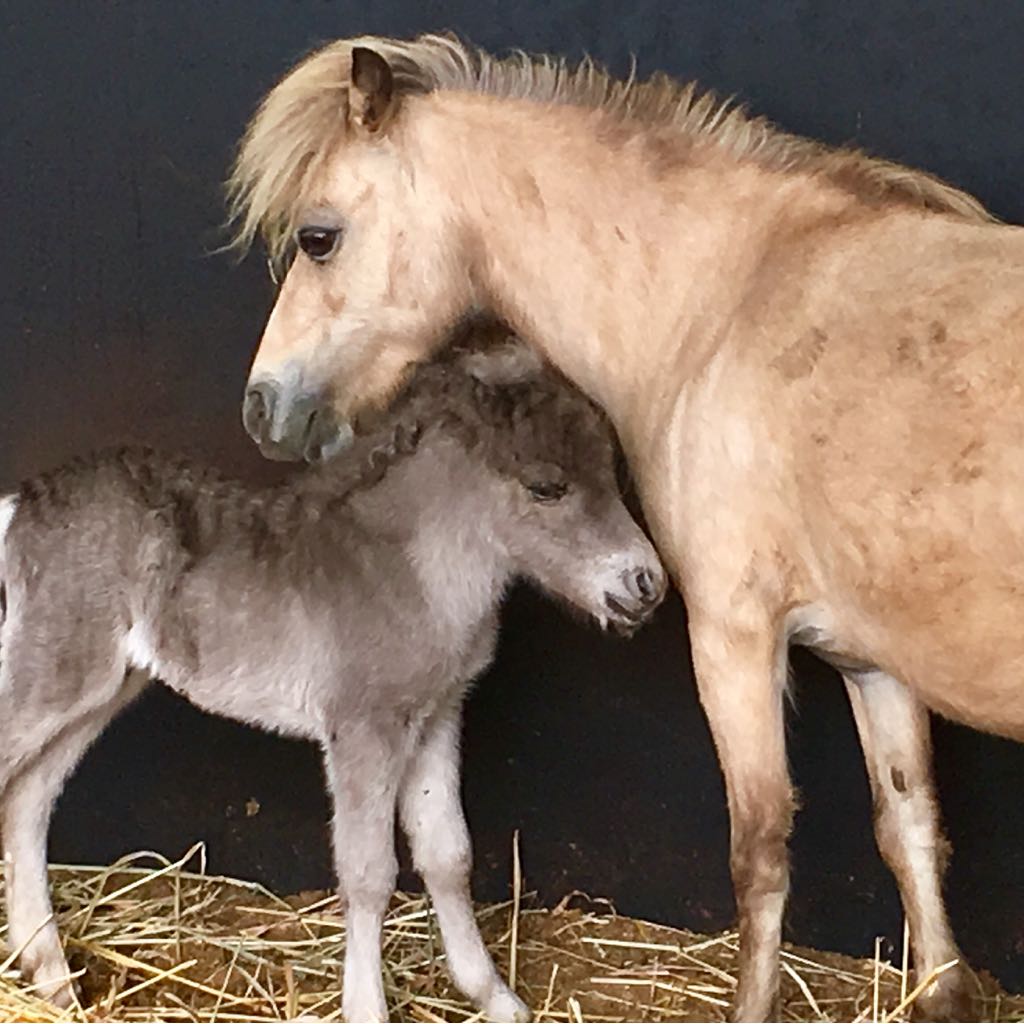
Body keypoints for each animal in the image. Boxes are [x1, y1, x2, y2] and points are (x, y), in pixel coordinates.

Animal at [0, 332, 666, 1022]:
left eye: (613, 475)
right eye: (546, 487)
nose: (646, 584)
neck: (414, 571)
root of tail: (22, 507)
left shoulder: (436, 715)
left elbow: (447, 853)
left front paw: (494, 997)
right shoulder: (364, 728)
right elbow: (369, 874)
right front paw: (369, 1007)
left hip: (103, 689)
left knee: (28, 801)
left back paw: (51, 977)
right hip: (57, 675)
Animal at [225, 32, 1024, 1021]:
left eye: (319, 237)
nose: (262, 407)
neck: (731, 302)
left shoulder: (732, 637)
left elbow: (760, 853)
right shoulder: (870, 660)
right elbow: (909, 828)